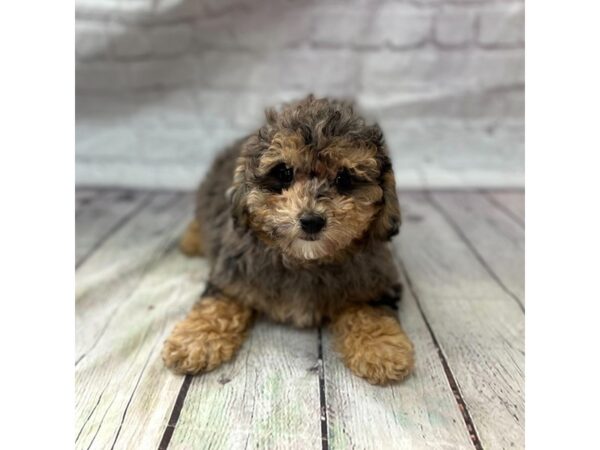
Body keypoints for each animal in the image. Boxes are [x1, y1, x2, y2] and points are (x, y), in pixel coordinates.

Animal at [162, 95, 414, 384]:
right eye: (284, 173)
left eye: (344, 178)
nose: (312, 220)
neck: (305, 260)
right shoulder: (234, 272)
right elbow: (217, 304)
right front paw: (194, 341)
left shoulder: (373, 277)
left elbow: (369, 308)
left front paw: (381, 348)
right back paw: (192, 239)